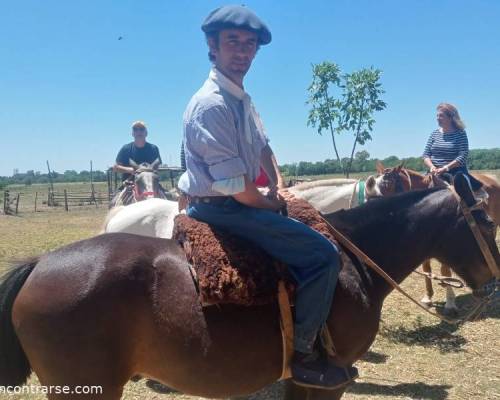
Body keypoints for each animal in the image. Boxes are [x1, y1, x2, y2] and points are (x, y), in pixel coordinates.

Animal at [1, 176, 498, 400]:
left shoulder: (300, 379)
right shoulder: (332, 377)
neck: (353, 263)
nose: (492, 286)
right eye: (489, 222)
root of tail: (39, 264)